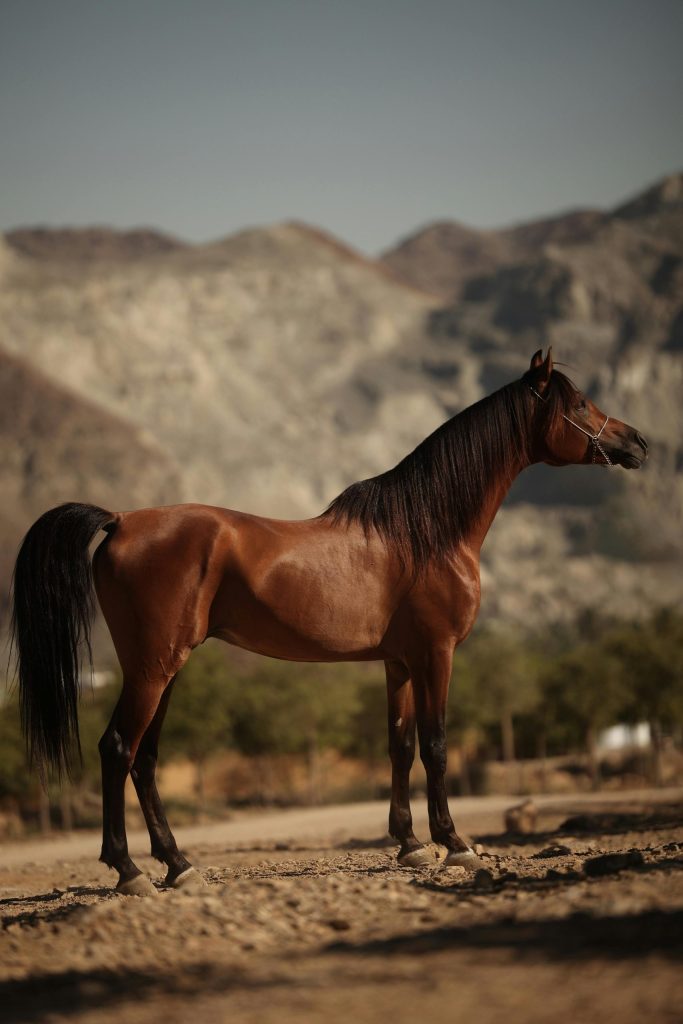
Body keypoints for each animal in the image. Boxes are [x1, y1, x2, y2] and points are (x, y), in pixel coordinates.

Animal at [10, 349, 648, 895]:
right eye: (581, 403)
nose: (638, 442)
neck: (427, 532)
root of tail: (119, 520)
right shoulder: (436, 654)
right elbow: (436, 746)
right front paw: (455, 844)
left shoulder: (399, 662)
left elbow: (400, 744)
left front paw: (410, 845)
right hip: (152, 668)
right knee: (118, 749)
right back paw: (129, 872)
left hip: (163, 669)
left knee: (144, 760)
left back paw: (178, 865)